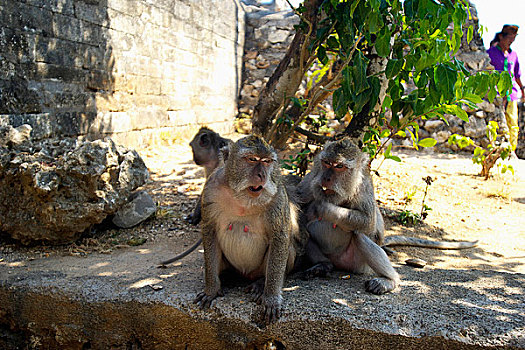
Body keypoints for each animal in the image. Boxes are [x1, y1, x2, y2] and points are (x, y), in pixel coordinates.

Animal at [192, 135, 300, 324]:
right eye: (252, 159)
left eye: (267, 161)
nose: (262, 175)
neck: (241, 197)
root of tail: (245, 275)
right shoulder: (210, 188)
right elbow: (209, 231)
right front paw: (211, 289)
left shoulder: (277, 195)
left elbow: (280, 236)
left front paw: (271, 298)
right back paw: (226, 276)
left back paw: (260, 283)